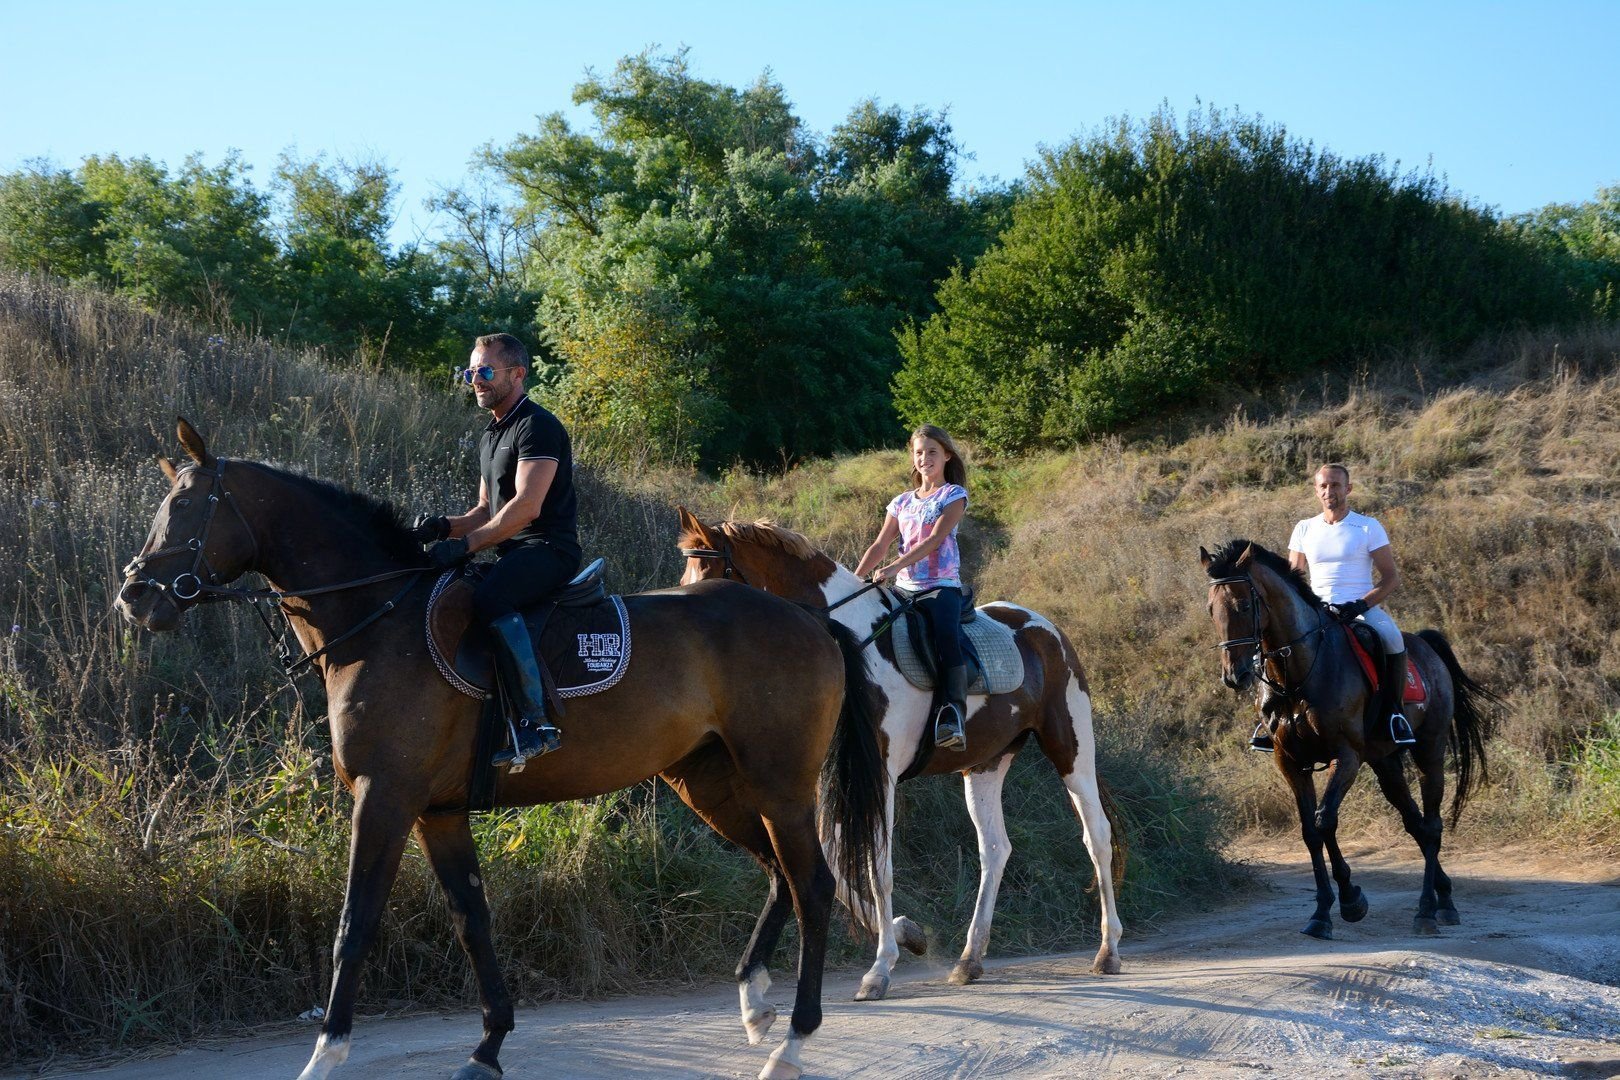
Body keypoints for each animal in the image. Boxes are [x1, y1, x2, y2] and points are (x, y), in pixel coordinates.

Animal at [114, 419, 887, 1080]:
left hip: (779, 783)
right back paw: (756, 1007)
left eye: (186, 507)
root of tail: (810, 619)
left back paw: (791, 1042)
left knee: (813, 885)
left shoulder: (384, 797)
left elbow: (354, 923)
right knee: (779, 874)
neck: (376, 620)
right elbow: (472, 920)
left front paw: (326, 1054)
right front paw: (487, 1046)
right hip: (709, 783)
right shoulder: (437, 813)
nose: (135, 596)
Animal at [675, 508, 1123, 1000]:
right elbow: (834, 863)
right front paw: (909, 935)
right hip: (984, 766)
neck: (849, 642)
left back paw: (1108, 952)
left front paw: (880, 969)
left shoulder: (881, 776)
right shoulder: (837, 777)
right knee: (995, 849)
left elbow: (878, 867)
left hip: (1071, 750)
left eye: (709, 576)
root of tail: (1047, 628)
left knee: (1096, 837)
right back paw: (970, 960)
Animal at [1200, 539, 1495, 939]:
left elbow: (1326, 820)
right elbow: (1311, 831)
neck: (1298, 673)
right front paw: (1322, 911)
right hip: (1385, 762)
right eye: (1211, 609)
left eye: (1245, 605)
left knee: (1432, 825)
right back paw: (1444, 897)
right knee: (1415, 823)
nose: (1236, 676)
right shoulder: (1289, 761)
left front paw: (1351, 900)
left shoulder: (1347, 756)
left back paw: (1428, 911)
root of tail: (1426, 645)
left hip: (1429, 751)